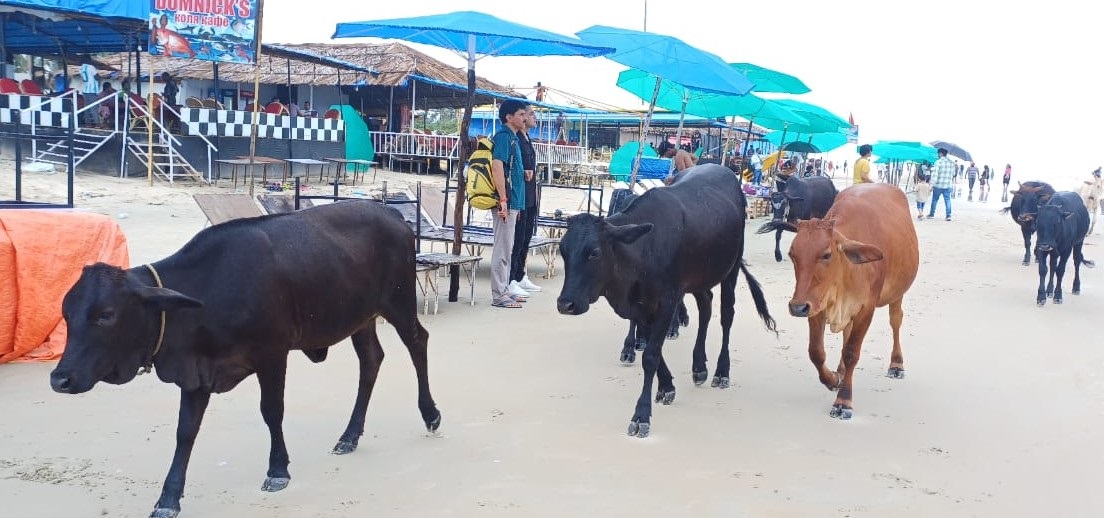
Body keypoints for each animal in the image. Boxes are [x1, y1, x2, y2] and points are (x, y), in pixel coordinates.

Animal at [49, 201, 439, 516]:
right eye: (66, 313)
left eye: (106, 314)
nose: (59, 378)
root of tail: (391, 214)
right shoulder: (197, 373)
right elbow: (185, 432)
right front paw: (168, 498)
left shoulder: (273, 355)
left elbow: (272, 411)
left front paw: (277, 469)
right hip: (361, 318)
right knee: (371, 360)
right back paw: (350, 435)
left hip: (398, 302)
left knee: (418, 342)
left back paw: (430, 414)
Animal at [552, 164, 777, 435]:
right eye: (563, 250)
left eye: (594, 252)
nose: (565, 304)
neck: (644, 250)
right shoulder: (641, 307)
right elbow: (652, 348)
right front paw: (667, 386)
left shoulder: (667, 300)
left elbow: (651, 355)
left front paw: (642, 415)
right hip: (699, 277)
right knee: (705, 307)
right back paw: (699, 367)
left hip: (730, 269)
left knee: (726, 316)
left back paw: (721, 371)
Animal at [786, 183, 922, 417]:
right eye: (792, 254)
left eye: (826, 255)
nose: (796, 307)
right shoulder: (815, 306)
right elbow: (816, 352)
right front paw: (833, 379)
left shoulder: (865, 310)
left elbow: (851, 352)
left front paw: (843, 401)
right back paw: (840, 371)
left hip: (897, 295)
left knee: (896, 321)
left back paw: (896, 364)